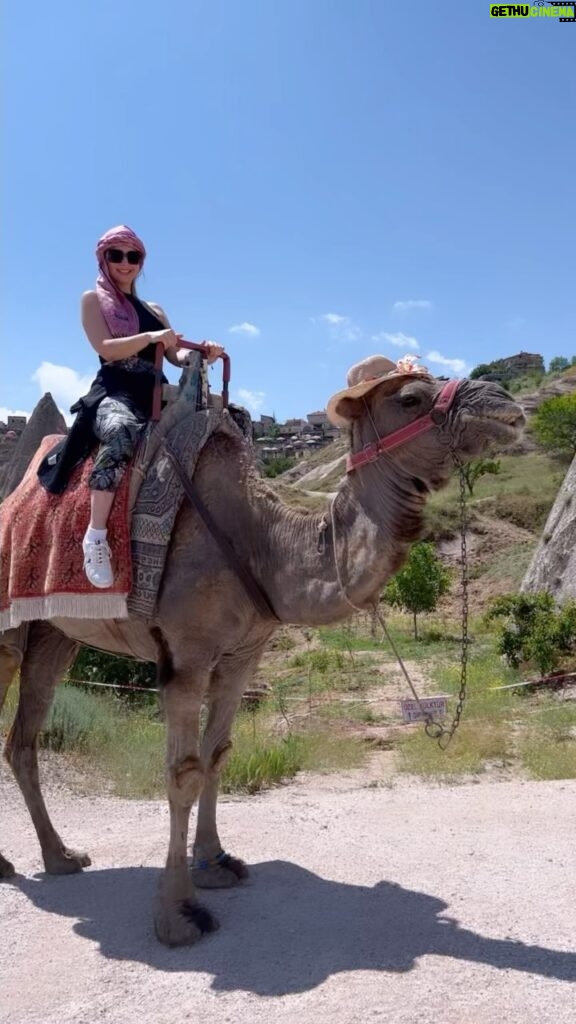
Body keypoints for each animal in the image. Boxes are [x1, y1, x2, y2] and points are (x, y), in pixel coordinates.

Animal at [0, 366, 524, 942]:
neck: (261, 541)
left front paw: (215, 864)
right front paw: (178, 915)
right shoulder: (186, 653)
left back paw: (61, 857)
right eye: (409, 397)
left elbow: (217, 755)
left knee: (23, 738)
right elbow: (183, 773)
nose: (503, 403)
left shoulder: (242, 655)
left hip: (54, 632)